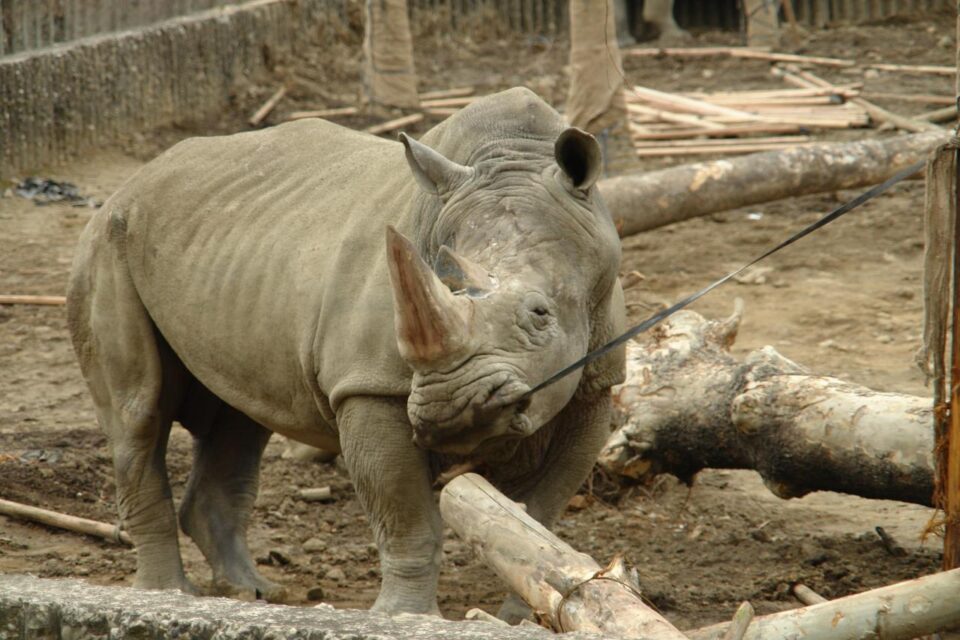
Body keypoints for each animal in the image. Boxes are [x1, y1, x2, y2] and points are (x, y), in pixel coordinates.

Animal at [67, 87, 625, 616]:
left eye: (540, 314)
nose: (453, 410)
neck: (516, 155)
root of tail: (134, 180)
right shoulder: (368, 384)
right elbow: (406, 516)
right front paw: (405, 617)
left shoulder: (595, 386)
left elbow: (540, 513)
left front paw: (529, 611)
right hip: (107, 243)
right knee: (140, 412)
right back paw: (168, 595)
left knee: (239, 418)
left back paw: (254, 592)